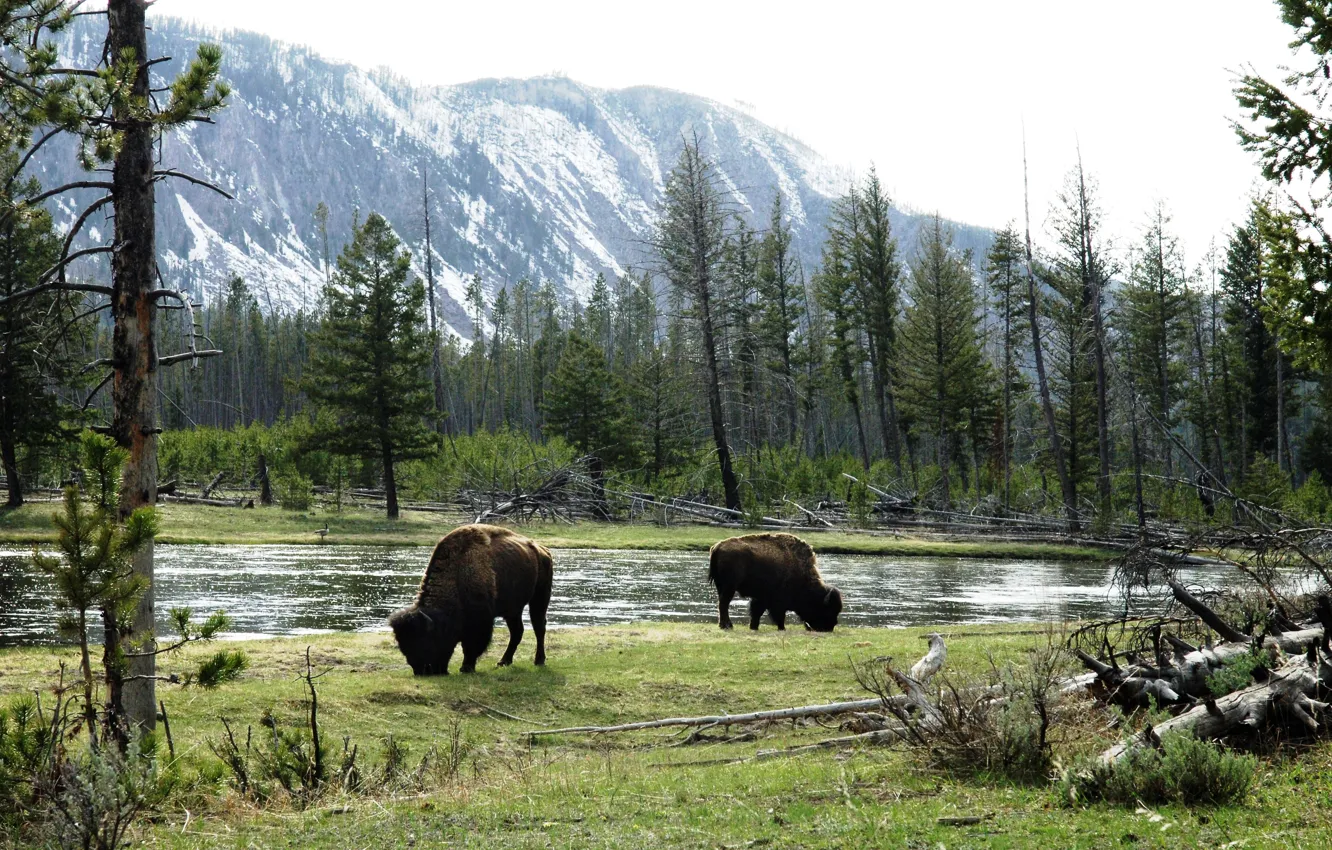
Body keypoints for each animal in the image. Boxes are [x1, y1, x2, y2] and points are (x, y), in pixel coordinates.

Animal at [389, 524, 553, 674]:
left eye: (425, 641)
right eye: (403, 646)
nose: (422, 671)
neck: (457, 574)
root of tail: (543, 550)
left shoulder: (479, 620)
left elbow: (471, 645)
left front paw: (466, 667)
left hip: (539, 599)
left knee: (539, 627)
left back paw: (539, 660)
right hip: (513, 610)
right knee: (517, 631)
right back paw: (503, 662)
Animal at [708, 532, 842, 632]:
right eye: (827, 609)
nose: (830, 628)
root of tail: (716, 547)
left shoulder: (761, 598)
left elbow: (756, 613)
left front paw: (754, 627)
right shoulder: (777, 602)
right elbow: (779, 616)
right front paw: (782, 628)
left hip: (721, 587)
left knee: (722, 603)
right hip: (729, 587)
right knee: (724, 604)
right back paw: (727, 626)